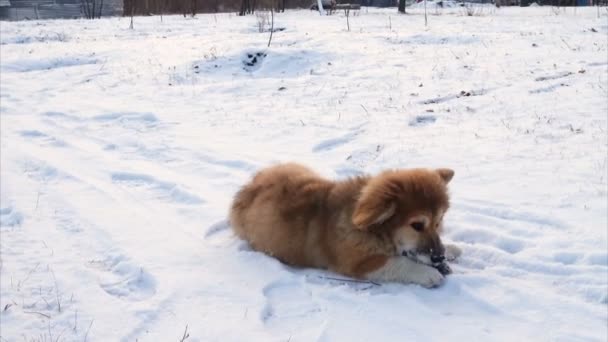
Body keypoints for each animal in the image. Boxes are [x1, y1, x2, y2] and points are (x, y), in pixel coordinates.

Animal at [229, 164, 460, 288]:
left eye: (438, 222)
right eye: (417, 225)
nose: (439, 257)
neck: (373, 231)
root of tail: (247, 188)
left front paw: (453, 249)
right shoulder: (358, 264)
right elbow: (399, 263)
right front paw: (428, 273)